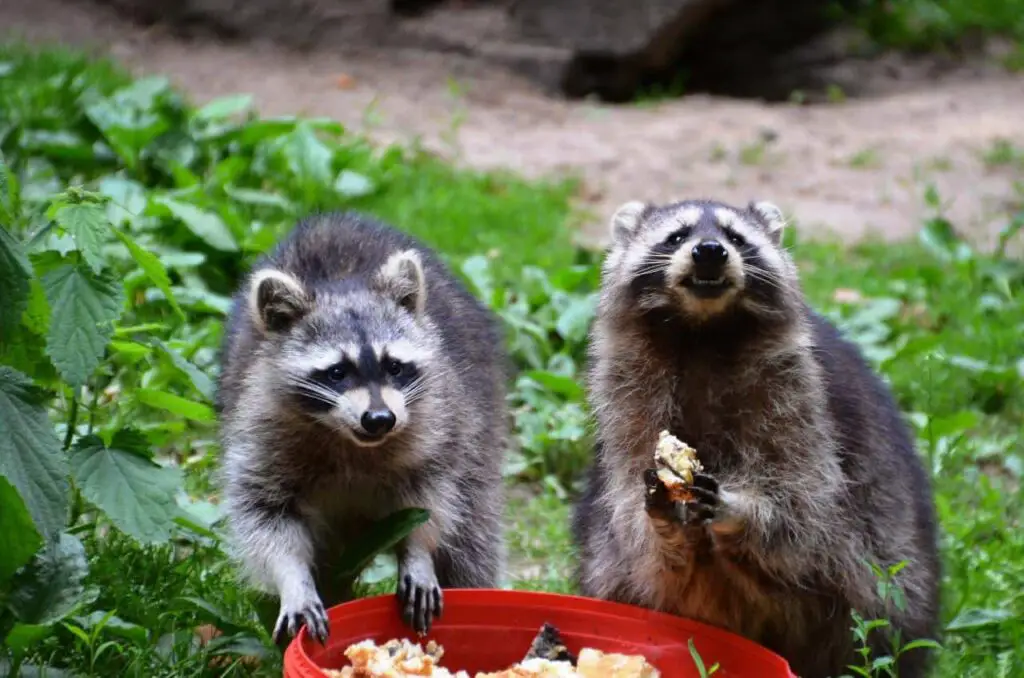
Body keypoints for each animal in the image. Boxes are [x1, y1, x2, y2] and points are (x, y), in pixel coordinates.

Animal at [214, 213, 509, 647]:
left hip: (480, 427)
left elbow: (431, 502)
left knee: (472, 538)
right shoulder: (260, 431)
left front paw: (418, 552)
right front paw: (293, 581)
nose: (380, 419)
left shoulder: (437, 426)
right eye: (337, 372)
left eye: (394, 366)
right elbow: (266, 517)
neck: (350, 440)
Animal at [573, 199, 937, 678]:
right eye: (677, 235)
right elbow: (630, 508)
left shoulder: (800, 394)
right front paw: (665, 522)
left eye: (735, 237)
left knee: (877, 602)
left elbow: (805, 500)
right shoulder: (627, 395)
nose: (710, 251)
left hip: (888, 564)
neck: (703, 331)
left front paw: (740, 510)